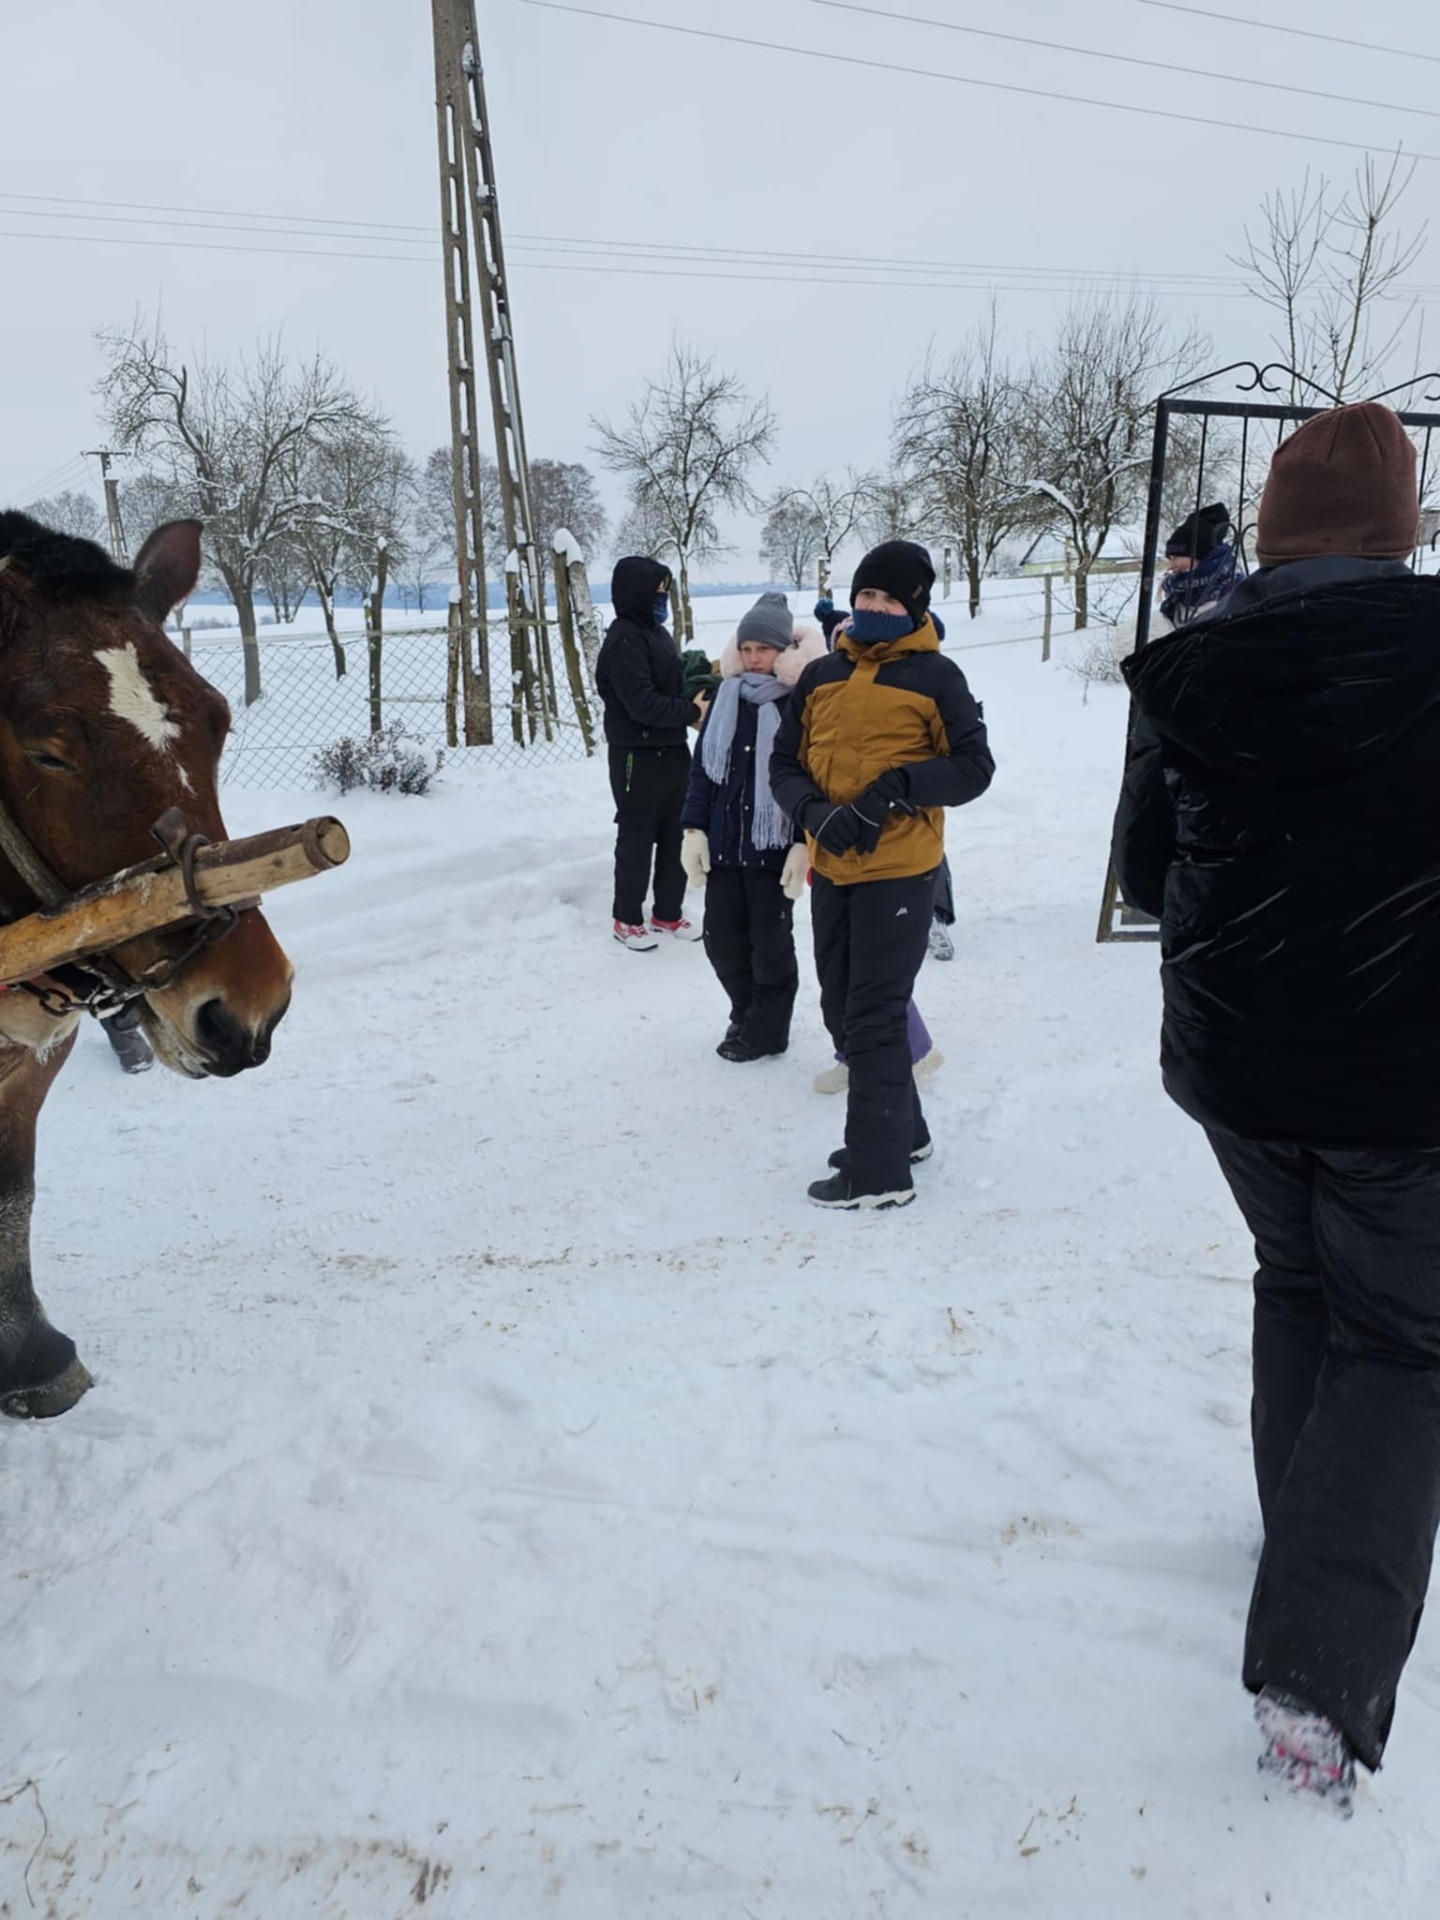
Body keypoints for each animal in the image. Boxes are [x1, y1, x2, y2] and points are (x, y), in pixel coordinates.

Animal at [0, 512, 295, 1418]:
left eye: (218, 716)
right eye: (46, 752)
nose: (245, 1005)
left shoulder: (29, 1064)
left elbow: (12, 1192)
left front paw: (29, 1356)